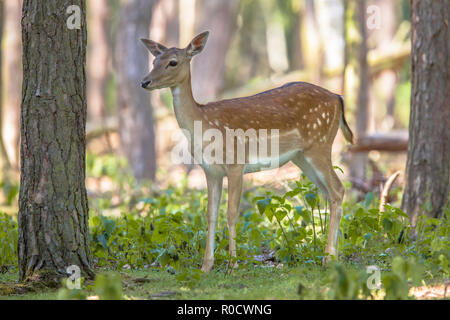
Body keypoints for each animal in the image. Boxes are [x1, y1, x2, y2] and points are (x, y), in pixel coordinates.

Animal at [141, 31, 356, 272]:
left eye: (173, 62)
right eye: (154, 61)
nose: (145, 82)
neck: (203, 123)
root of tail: (338, 97)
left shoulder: (236, 162)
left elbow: (232, 213)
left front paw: (232, 264)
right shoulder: (210, 170)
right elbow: (210, 214)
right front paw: (206, 266)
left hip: (319, 145)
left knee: (338, 188)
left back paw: (329, 257)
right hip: (302, 156)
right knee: (329, 192)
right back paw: (331, 255)